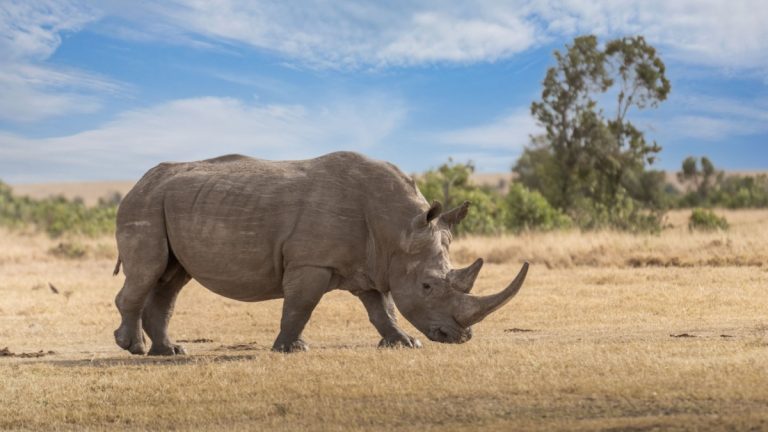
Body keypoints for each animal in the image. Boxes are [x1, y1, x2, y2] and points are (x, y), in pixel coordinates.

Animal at [113, 152, 528, 354]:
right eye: (427, 286)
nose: (459, 337)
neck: (398, 228)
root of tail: (135, 184)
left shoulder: (373, 264)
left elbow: (383, 309)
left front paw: (405, 343)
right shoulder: (311, 262)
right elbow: (301, 306)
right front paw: (292, 349)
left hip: (165, 202)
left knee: (171, 280)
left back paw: (170, 352)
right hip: (145, 204)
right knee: (149, 271)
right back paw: (134, 348)